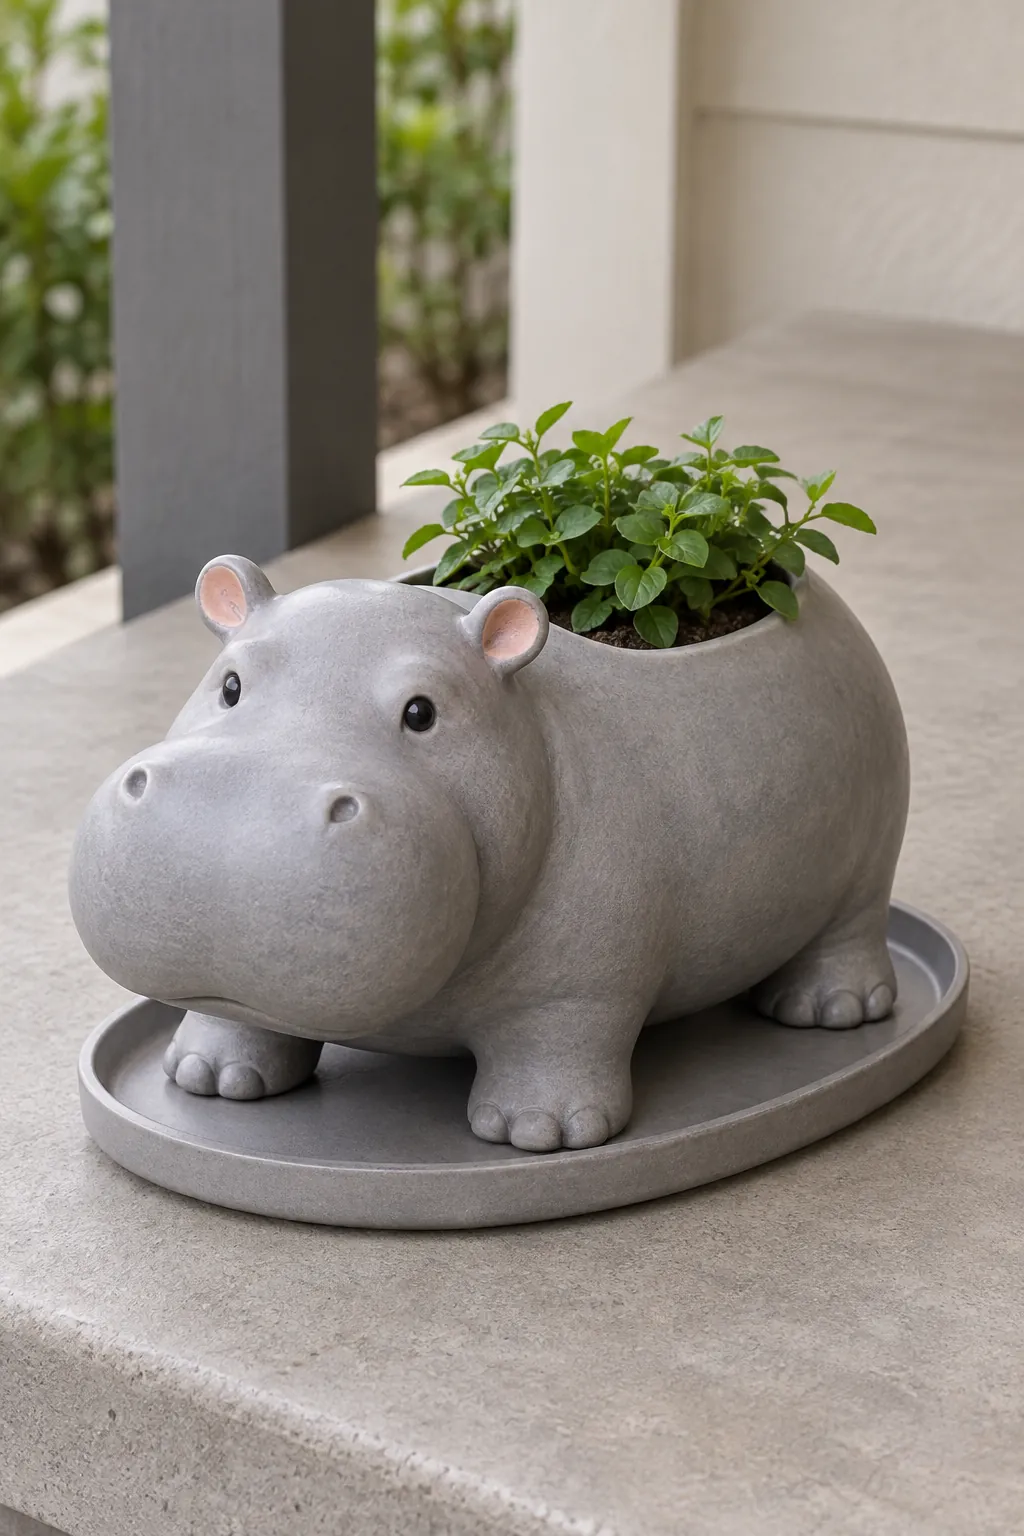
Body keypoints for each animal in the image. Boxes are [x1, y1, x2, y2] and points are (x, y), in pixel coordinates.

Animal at [69, 554, 909, 1153]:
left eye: (423, 712)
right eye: (230, 684)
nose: (230, 816)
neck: (526, 724)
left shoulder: (578, 986)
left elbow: (558, 1037)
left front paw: (539, 1133)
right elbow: (238, 1021)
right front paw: (207, 1080)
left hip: (874, 842)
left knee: (850, 929)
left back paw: (827, 1014)